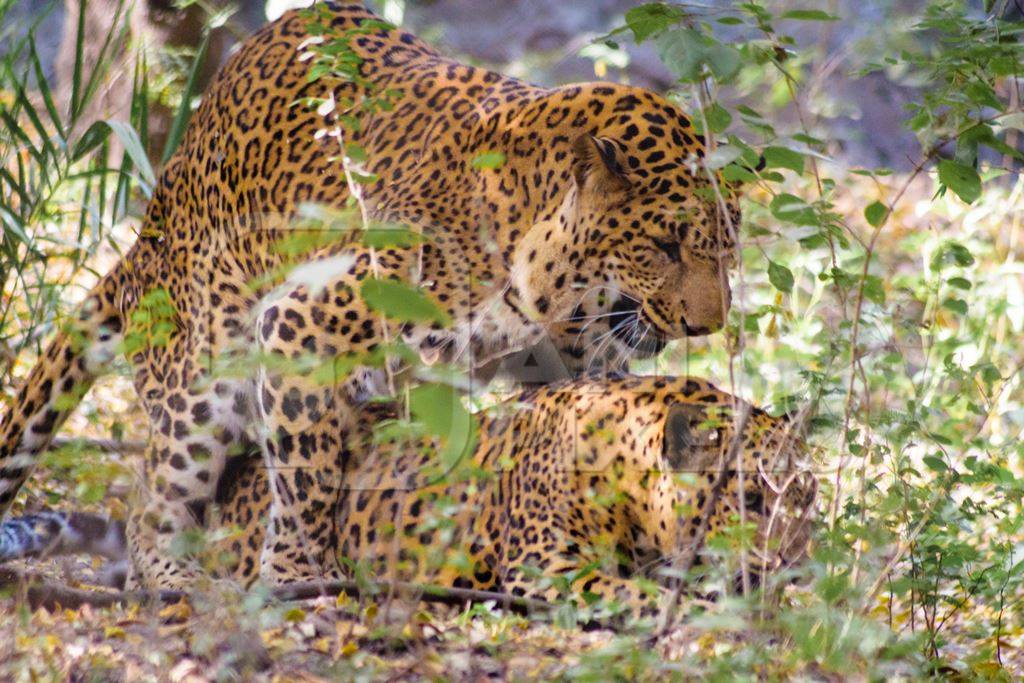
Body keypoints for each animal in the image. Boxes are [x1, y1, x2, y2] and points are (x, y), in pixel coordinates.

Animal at [0, 1, 741, 593]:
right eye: (665, 246)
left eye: (727, 251)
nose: (706, 324)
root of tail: (160, 201)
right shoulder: (299, 324)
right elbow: (306, 474)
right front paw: (297, 576)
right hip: (202, 378)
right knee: (152, 496)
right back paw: (175, 577)